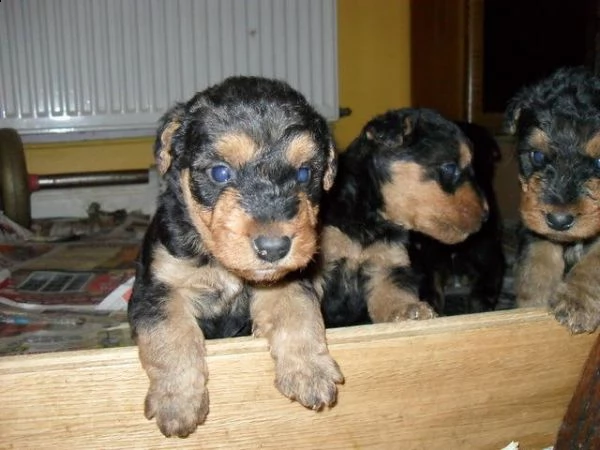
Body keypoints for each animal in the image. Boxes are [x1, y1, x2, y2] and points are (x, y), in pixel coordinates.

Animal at [127, 75, 342, 438]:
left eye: (304, 174)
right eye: (220, 173)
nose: (274, 248)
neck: (220, 263)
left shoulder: (290, 280)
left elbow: (299, 313)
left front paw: (310, 372)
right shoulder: (158, 289)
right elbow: (171, 337)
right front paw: (178, 403)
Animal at [316, 108, 490, 326]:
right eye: (450, 167)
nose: (486, 214)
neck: (370, 218)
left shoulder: (388, 265)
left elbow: (394, 295)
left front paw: (409, 310)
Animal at [506, 67, 600, 334]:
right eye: (537, 155)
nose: (559, 221)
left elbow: (595, 262)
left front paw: (576, 303)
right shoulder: (533, 226)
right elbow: (538, 264)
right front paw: (530, 308)